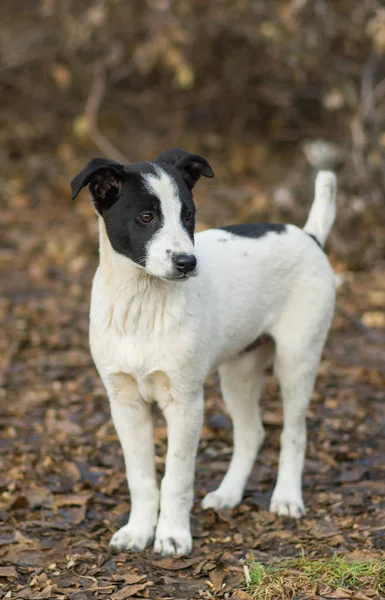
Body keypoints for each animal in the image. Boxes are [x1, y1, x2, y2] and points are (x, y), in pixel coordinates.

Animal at [72, 149, 336, 556]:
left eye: (189, 216)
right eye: (146, 217)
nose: (187, 263)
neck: (142, 304)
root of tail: (309, 235)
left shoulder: (185, 403)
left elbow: (176, 478)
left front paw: (172, 535)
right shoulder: (124, 402)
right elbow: (141, 477)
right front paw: (138, 531)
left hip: (297, 359)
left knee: (294, 433)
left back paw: (287, 498)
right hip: (239, 371)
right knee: (252, 433)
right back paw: (228, 494)